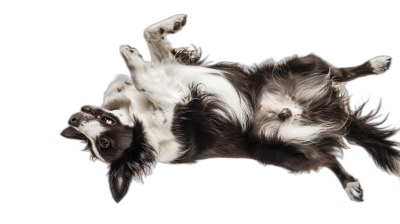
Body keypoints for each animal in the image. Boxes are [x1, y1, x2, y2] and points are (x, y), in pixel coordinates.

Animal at [57, 14, 398, 203]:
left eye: (100, 143)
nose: (72, 118)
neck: (141, 122)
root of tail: (329, 116)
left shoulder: (172, 68)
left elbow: (150, 36)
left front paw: (171, 24)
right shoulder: (177, 105)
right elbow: (142, 77)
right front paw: (130, 56)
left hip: (298, 66)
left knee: (338, 73)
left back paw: (377, 63)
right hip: (284, 149)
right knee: (327, 158)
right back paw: (351, 184)